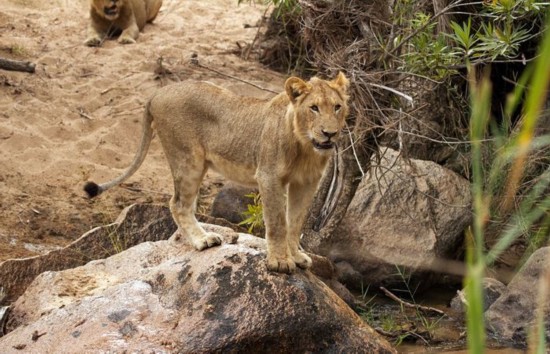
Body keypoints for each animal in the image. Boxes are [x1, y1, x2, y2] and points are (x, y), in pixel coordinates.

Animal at [85, 73, 354, 274]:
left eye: (337, 107)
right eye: (314, 108)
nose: (329, 133)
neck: (305, 146)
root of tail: (157, 93)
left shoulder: (306, 182)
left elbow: (296, 221)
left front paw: (296, 256)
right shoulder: (268, 176)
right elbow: (277, 222)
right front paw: (279, 261)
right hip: (187, 160)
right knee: (178, 204)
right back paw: (202, 240)